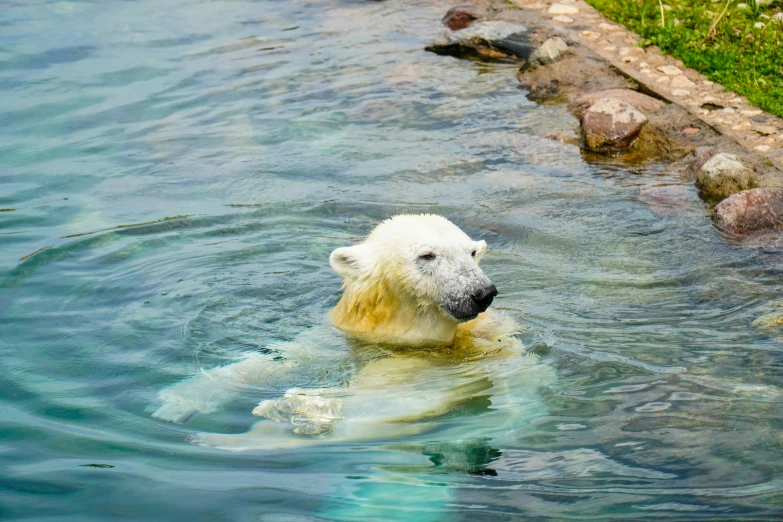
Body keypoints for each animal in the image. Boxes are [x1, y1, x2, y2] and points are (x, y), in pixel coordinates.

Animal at [153, 213, 552, 448]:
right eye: (427, 255)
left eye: (471, 253)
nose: (482, 292)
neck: (399, 329)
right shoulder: (346, 331)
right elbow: (282, 354)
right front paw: (174, 402)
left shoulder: (458, 355)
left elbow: (403, 385)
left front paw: (303, 408)